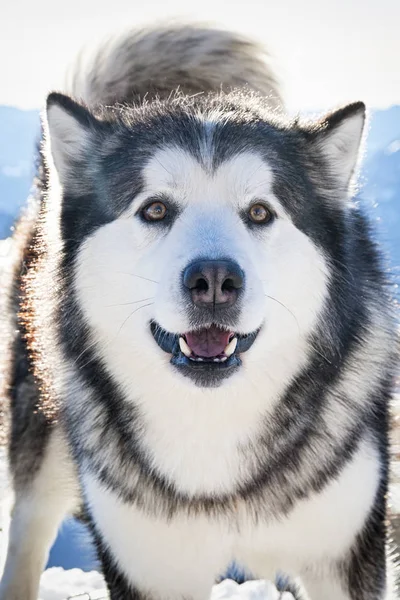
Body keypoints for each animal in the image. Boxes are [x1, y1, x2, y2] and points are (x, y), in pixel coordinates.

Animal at [0, 21, 396, 596]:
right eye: (155, 209)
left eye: (260, 212)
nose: (213, 281)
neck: (212, 430)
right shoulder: (150, 567)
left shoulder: (344, 554)